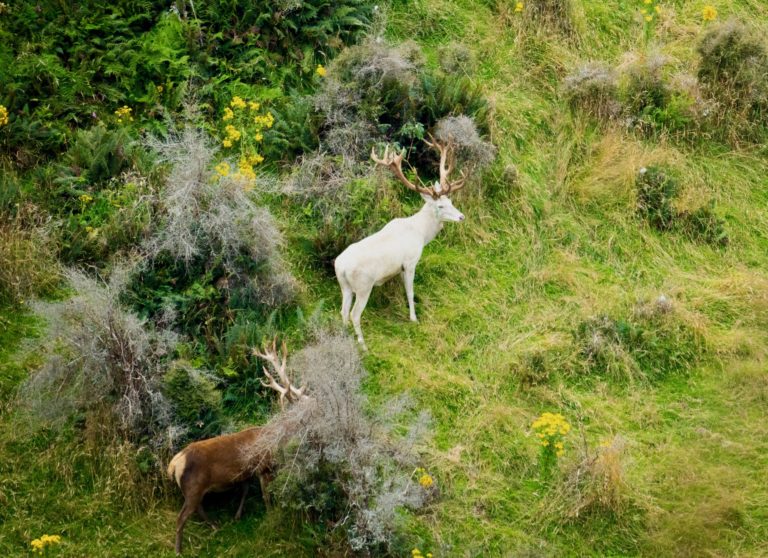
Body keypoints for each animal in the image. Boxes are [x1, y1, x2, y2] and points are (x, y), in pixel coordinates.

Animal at [167, 339, 306, 555]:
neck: (277, 442)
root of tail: (174, 463)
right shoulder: (264, 468)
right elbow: (266, 496)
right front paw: (271, 516)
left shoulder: (247, 472)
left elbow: (245, 489)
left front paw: (238, 515)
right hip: (193, 486)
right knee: (182, 517)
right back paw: (178, 549)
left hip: (193, 489)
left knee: (197, 508)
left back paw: (214, 525)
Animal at [334, 136, 467, 349]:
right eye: (440, 205)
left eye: (451, 201)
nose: (461, 217)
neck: (421, 233)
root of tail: (340, 267)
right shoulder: (410, 262)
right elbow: (410, 292)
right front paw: (414, 318)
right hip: (363, 286)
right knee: (354, 314)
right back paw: (363, 346)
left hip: (344, 286)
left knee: (343, 312)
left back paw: (346, 339)